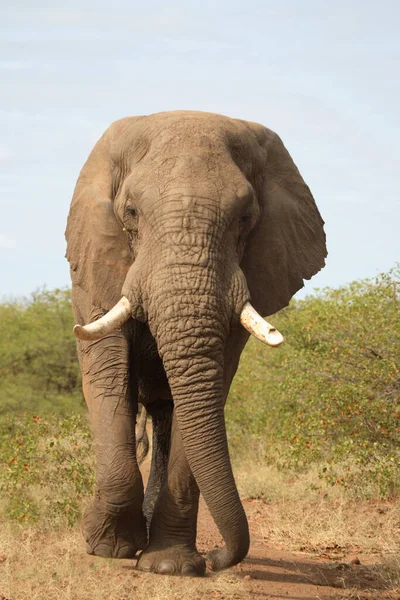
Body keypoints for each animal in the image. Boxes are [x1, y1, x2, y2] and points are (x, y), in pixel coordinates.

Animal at [65, 110, 324, 576]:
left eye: (246, 217)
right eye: (131, 212)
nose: (218, 557)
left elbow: (212, 385)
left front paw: (170, 566)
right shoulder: (95, 262)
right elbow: (107, 372)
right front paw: (109, 546)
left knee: (169, 416)